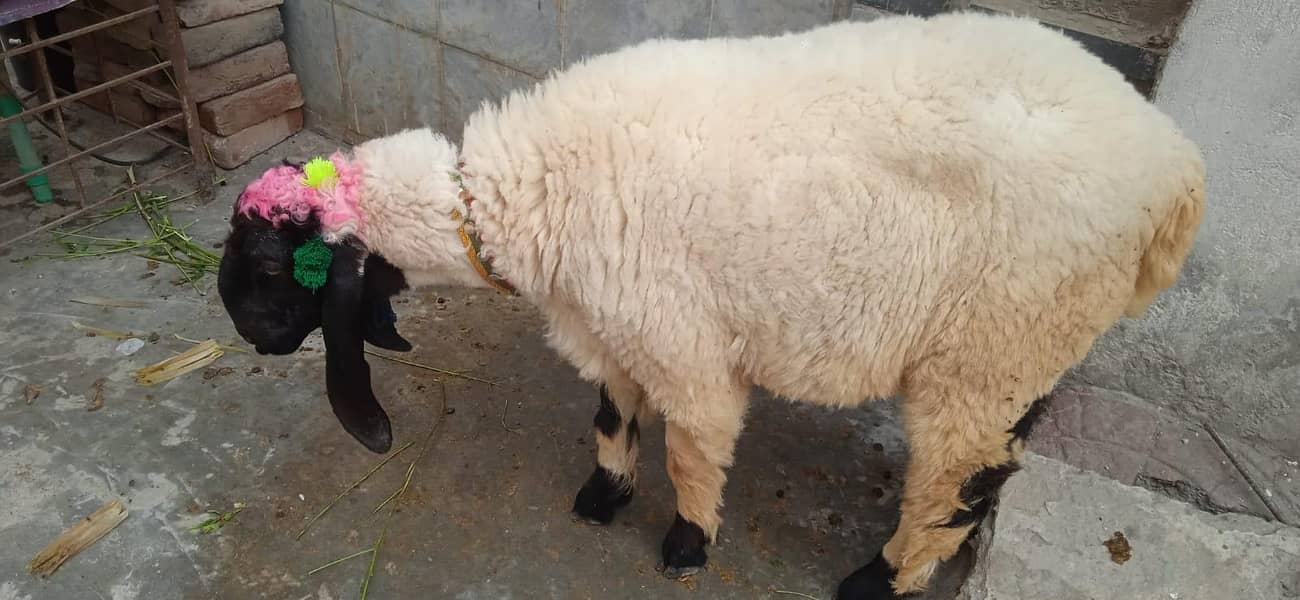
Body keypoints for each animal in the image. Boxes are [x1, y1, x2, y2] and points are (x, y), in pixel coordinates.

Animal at [216, 12, 1205, 599]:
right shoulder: (613, 322)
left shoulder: (681, 342)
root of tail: (1176, 167)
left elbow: (692, 448)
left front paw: (687, 545)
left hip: (999, 342)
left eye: (268, 267)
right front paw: (602, 495)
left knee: (958, 480)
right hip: (1024, 348)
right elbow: (611, 414)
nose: (254, 343)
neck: (513, 194)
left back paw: (880, 581)